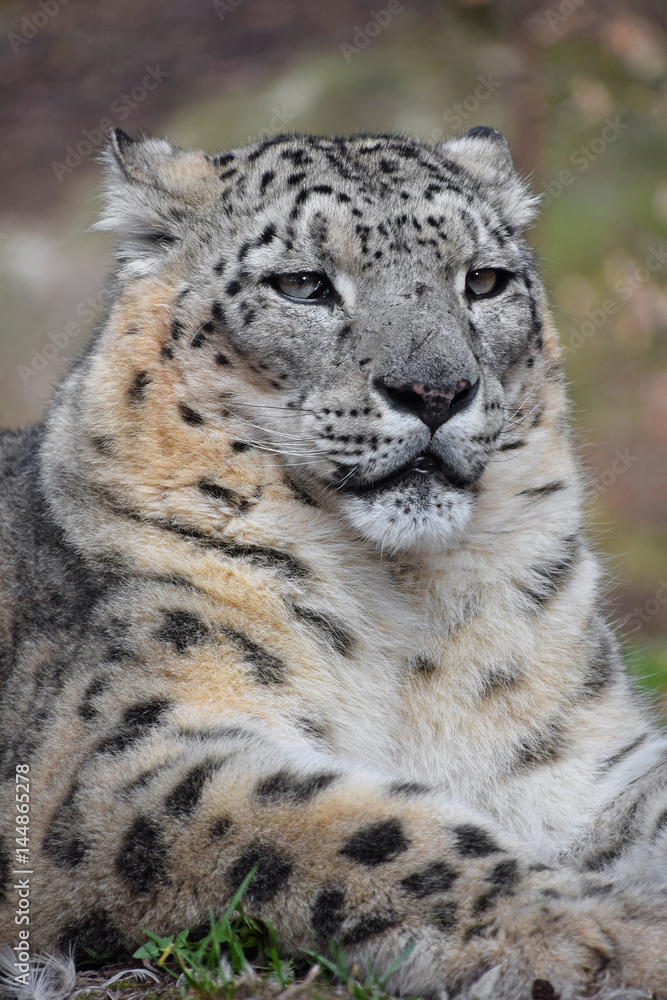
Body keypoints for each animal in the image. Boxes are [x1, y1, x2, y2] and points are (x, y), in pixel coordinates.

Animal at [1, 125, 666, 1000]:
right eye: (303, 285)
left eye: (483, 280)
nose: (435, 389)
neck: (411, 610)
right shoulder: (114, 763)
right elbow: (357, 829)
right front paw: (605, 934)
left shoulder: (585, 761)